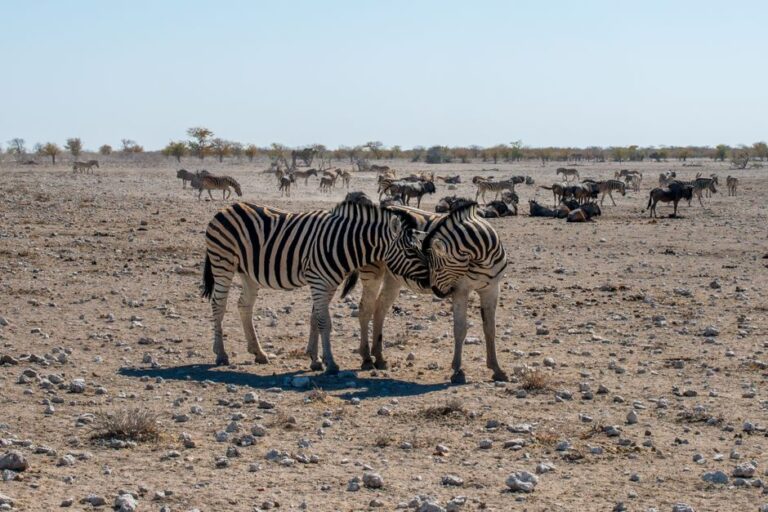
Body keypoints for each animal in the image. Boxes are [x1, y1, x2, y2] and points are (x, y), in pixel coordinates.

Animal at [201, 200, 412, 373]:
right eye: (411, 251)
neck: (342, 242)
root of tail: (226, 208)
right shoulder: (319, 281)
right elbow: (324, 322)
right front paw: (331, 363)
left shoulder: (329, 284)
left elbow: (315, 318)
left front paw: (315, 359)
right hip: (223, 263)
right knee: (218, 305)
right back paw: (221, 354)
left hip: (248, 272)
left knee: (244, 306)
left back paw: (258, 352)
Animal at [340, 198, 508, 384]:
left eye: (436, 267)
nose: (437, 291)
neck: (483, 258)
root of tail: (384, 206)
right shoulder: (461, 290)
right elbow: (460, 329)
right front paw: (458, 371)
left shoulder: (492, 289)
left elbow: (490, 329)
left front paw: (497, 369)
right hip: (373, 273)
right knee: (365, 309)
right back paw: (366, 359)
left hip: (393, 277)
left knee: (380, 309)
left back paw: (379, 358)